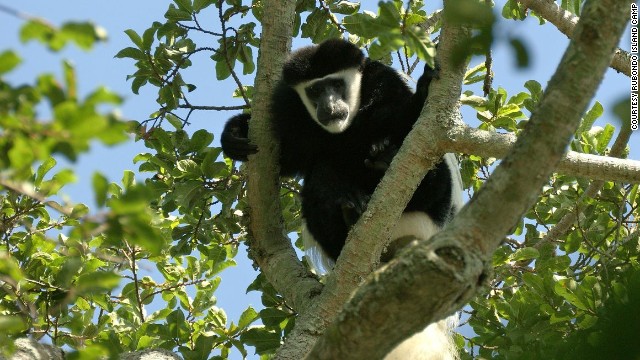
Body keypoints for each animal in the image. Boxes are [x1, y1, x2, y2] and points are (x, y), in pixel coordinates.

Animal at [221, 38, 460, 358]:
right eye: (315, 90)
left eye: (335, 84)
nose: (329, 106)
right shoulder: (287, 108)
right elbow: (288, 158)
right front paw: (234, 133)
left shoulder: (384, 84)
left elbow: (407, 122)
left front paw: (423, 90)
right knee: (321, 174)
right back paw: (352, 212)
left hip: (433, 207)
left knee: (432, 171)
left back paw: (383, 160)